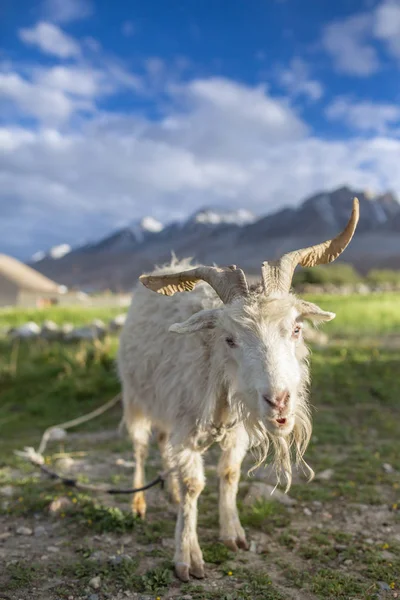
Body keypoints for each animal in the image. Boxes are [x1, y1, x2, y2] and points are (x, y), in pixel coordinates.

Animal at [116, 199, 360, 584]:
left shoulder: (234, 430)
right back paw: (139, 504)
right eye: (229, 339)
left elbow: (228, 474)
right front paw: (187, 557)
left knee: (162, 444)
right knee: (140, 447)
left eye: (296, 328)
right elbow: (193, 485)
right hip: (136, 396)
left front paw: (234, 534)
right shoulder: (187, 426)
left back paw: (170, 494)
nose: (279, 402)